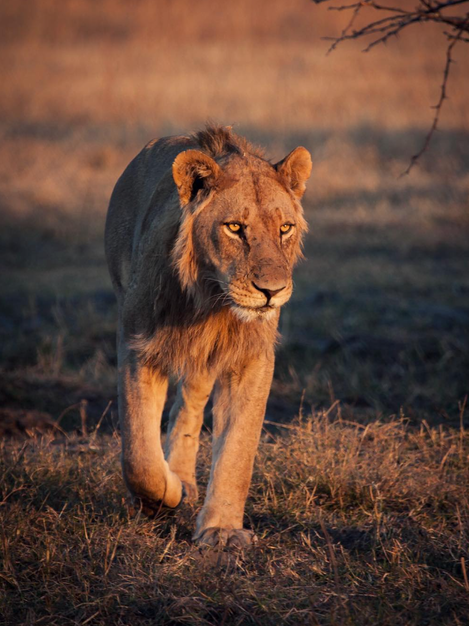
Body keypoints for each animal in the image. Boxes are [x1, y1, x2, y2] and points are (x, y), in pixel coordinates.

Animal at [105, 124, 310, 544]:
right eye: (234, 227)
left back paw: (185, 478)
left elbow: (238, 449)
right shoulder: (137, 346)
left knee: (190, 406)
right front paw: (162, 495)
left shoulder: (251, 358)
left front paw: (222, 529)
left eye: (285, 228)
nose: (272, 291)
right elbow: (138, 452)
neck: (212, 300)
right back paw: (177, 484)